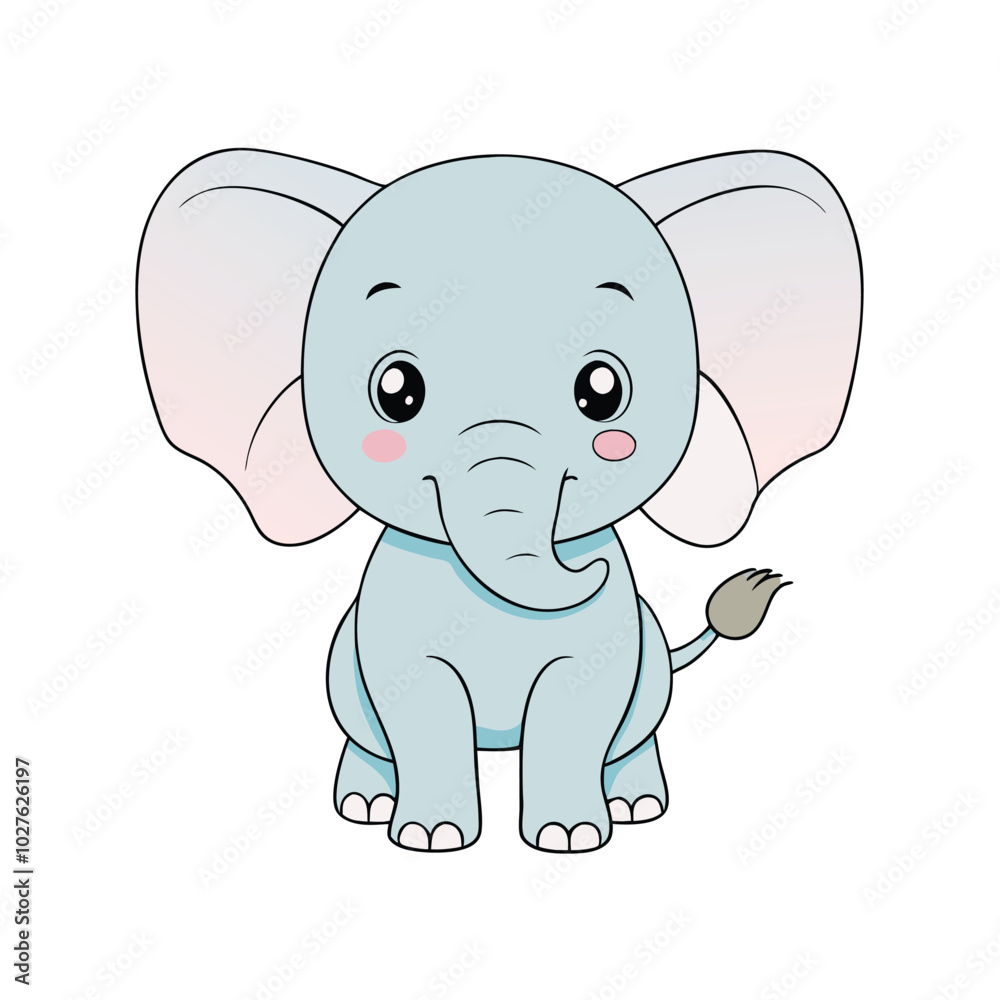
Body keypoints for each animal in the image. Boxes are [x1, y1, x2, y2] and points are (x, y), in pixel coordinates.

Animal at [136, 147, 861, 852]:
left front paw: (569, 838)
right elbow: (415, 697)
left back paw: (637, 807)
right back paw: (366, 805)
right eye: (396, 391)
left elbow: (581, 697)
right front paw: (432, 838)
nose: (587, 568)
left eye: (602, 391)